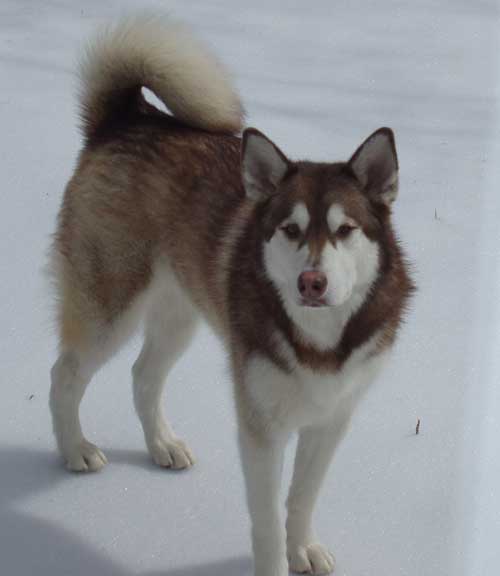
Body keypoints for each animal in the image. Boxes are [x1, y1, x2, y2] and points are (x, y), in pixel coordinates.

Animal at [48, 14, 414, 576]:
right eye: (291, 229)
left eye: (344, 230)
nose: (312, 282)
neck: (319, 341)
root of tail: (129, 117)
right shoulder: (260, 427)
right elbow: (264, 521)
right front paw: (275, 562)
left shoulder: (331, 419)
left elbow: (302, 498)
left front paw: (302, 547)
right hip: (110, 306)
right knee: (65, 374)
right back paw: (75, 450)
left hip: (179, 314)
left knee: (143, 375)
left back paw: (162, 444)